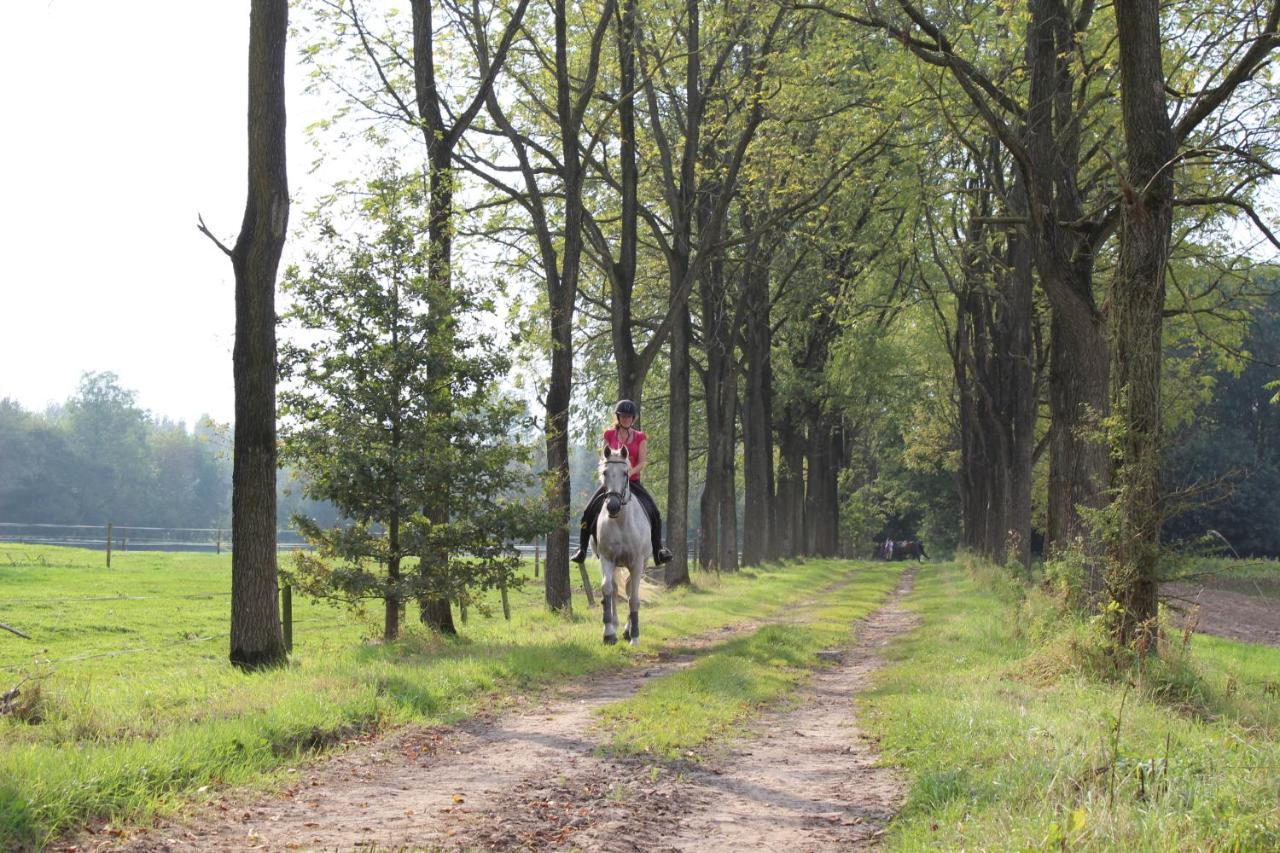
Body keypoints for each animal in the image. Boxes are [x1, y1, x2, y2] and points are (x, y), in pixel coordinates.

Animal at [591, 440, 650, 640]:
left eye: (625, 473)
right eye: (605, 472)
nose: (613, 506)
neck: (621, 522)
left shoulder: (637, 563)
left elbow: (634, 598)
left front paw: (635, 636)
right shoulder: (607, 559)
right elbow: (607, 589)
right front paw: (608, 632)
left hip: (640, 563)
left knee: (630, 589)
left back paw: (627, 630)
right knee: (616, 589)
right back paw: (616, 626)